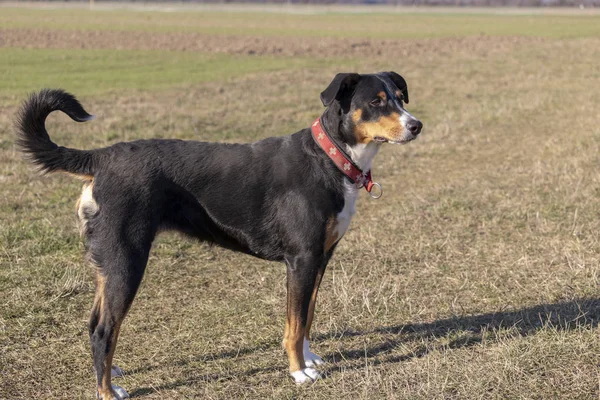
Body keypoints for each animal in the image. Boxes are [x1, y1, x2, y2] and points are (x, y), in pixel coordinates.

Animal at [17, 72, 422, 400]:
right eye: (376, 102)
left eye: (400, 98)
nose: (416, 125)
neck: (329, 158)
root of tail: (101, 158)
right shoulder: (301, 260)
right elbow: (293, 325)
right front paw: (299, 372)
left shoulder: (320, 259)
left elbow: (306, 317)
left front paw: (309, 359)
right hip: (126, 262)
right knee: (103, 329)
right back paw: (107, 390)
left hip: (110, 265)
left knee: (95, 324)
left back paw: (109, 370)